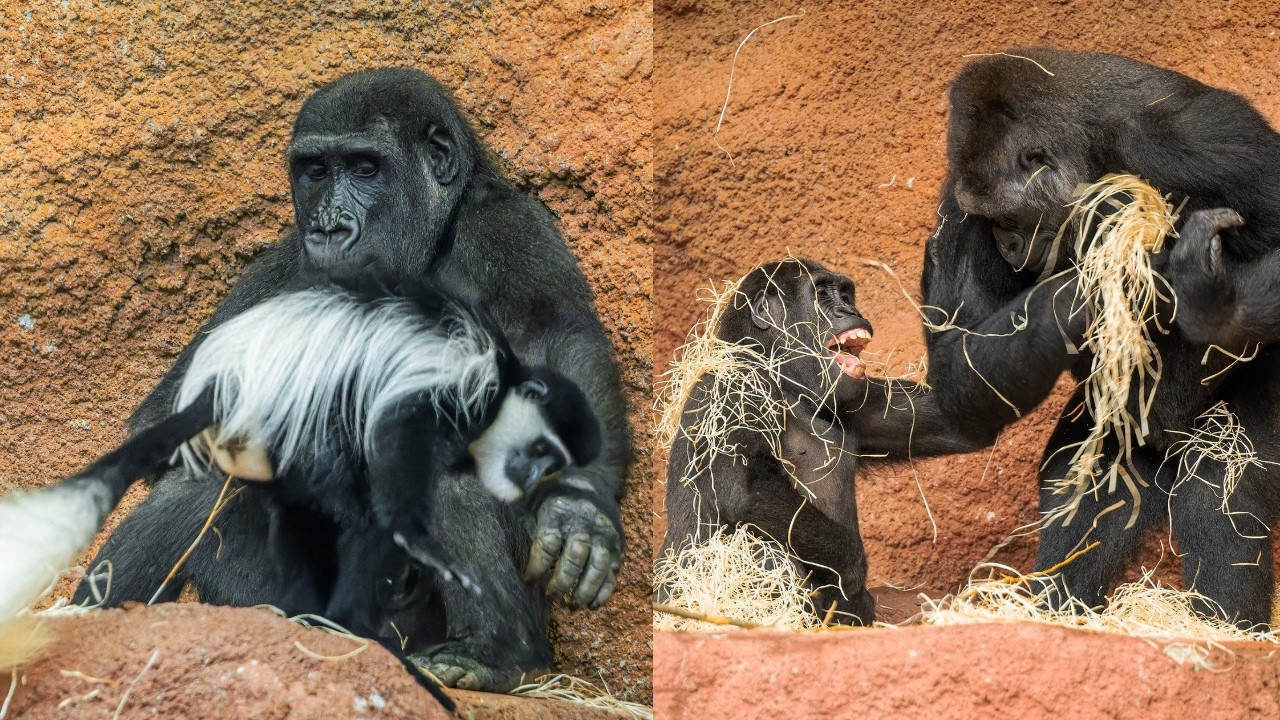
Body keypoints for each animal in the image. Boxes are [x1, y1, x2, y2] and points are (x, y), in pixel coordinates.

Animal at [658, 258, 985, 625]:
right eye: (822, 295)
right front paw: (853, 566)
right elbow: (741, 491)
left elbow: (960, 418)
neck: (782, 378)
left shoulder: (857, 397)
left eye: (845, 295)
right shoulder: (733, 388)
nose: (849, 310)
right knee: (760, 553)